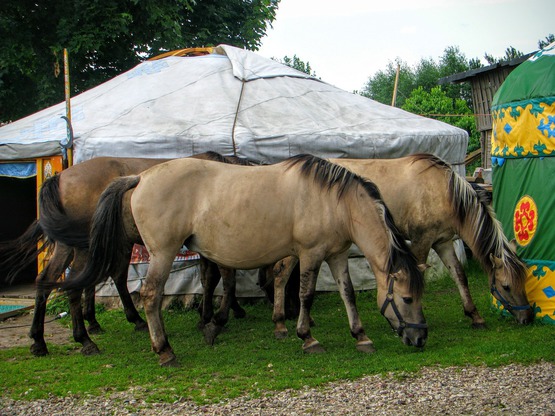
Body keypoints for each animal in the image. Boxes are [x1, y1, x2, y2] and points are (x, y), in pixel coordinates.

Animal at [0, 153, 245, 358]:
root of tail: (60, 177)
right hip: (85, 247)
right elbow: (216, 279)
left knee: (47, 281)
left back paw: (40, 340)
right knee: (76, 285)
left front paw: (212, 314)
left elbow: (207, 279)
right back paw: (86, 339)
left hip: (68, 245)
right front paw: (214, 316)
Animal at [260, 154, 536, 338]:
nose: (528, 318)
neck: (444, 190)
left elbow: (460, 276)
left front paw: (475, 315)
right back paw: (280, 323)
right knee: (281, 274)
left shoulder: (444, 242)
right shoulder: (422, 239)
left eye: (524, 281)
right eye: (506, 286)